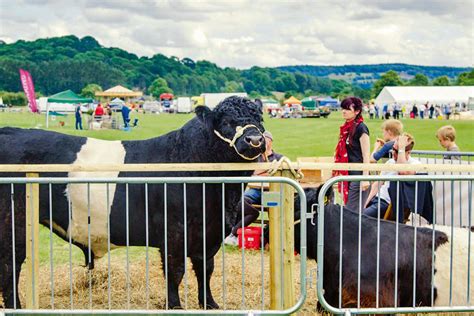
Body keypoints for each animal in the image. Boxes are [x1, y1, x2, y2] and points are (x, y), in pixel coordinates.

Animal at [0, 96, 266, 308]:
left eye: (260, 118)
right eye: (227, 121)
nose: (255, 139)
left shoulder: (209, 233)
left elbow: (205, 269)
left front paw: (210, 304)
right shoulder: (174, 231)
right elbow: (175, 270)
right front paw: (174, 306)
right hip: (14, 220)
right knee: (11, 264)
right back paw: (16, 306)